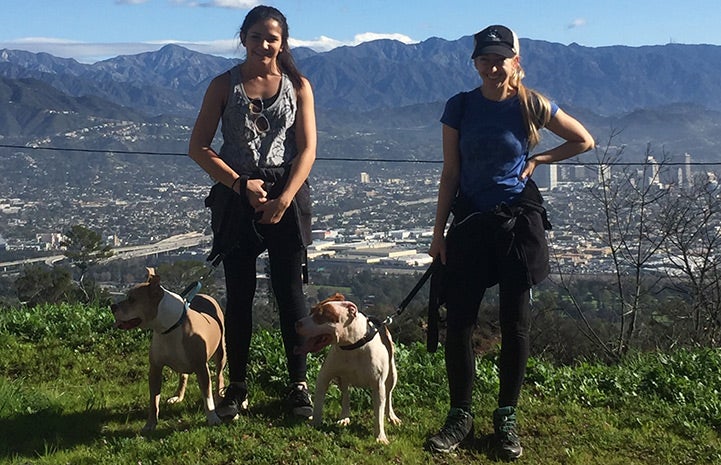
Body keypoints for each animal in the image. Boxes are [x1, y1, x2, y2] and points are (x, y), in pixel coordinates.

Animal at [111, 268, 225, 432]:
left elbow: (207, 396)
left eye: (132, 299)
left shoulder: (201, 368)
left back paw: (220, 397)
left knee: (220, 375)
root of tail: (204, 295)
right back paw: (178, 396)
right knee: (183, 376)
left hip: (221, 352)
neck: (169, 327)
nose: (112, 306)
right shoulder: (155, 368)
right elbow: (154, 400)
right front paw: (150, 424)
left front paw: (213, 418)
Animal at [296, 294, 402, 442]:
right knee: (345, 395)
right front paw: (315, 423)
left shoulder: (378, 385)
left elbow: (379, 412)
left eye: (321, 316)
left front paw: (380, 436)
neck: (352, 345)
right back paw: (344, 417)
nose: (297, 323)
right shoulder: (324, 377)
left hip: (392, 375)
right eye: (311, 311)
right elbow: (318, 404)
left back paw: (392, 416)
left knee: (389, 395)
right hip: (342, 379)